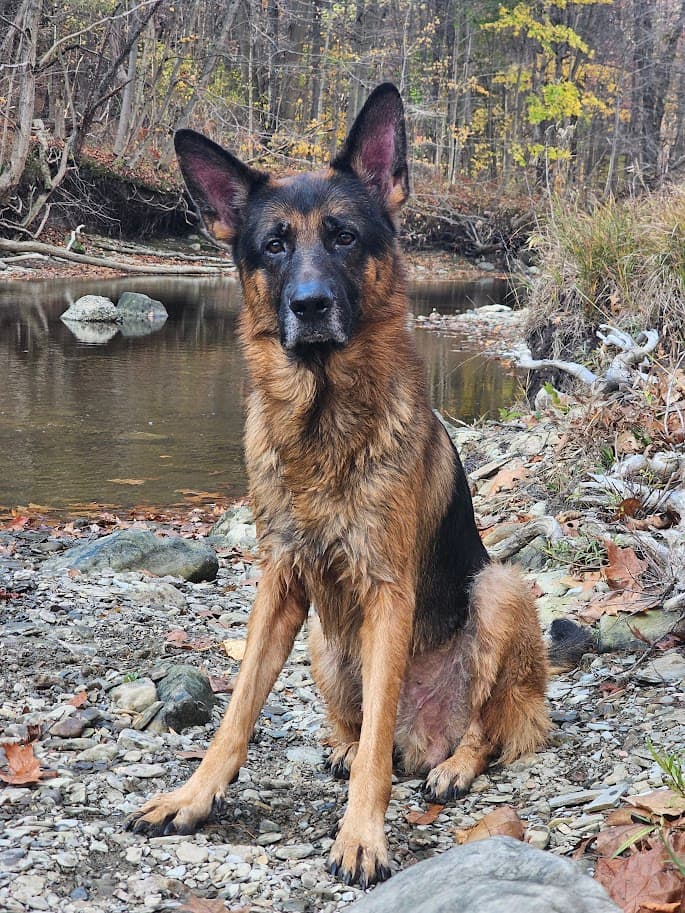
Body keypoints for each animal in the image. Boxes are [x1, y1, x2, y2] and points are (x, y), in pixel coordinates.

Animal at [125, 83, 548, 884]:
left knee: (479, 726)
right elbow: (236, 712)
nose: (311, 304)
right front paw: (193, 795)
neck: (323, 427)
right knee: (358, 724)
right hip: (324, 640)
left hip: (501, 588)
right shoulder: (280, 582)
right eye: (274, 245)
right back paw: (345, 746)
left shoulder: (387, 591)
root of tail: (425, 736)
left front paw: (361, 834)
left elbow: (378, 742)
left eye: (345, 236)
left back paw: (452, 763)